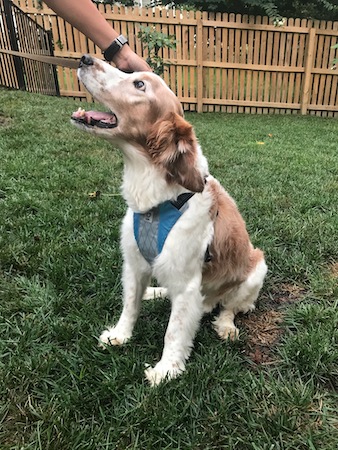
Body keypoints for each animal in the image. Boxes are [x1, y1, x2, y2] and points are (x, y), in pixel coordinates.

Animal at [70, 55, 266, 386]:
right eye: (132, 73)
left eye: (139, 84)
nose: (85, 59)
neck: (157, 199)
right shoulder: (133, 264)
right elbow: (130, 305)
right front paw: (120, 335)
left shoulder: (187, 285)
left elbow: (174, 332)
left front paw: (166, 370)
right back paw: (156, 292)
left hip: (256, 267)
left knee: (230, 306)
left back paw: (226, 326)